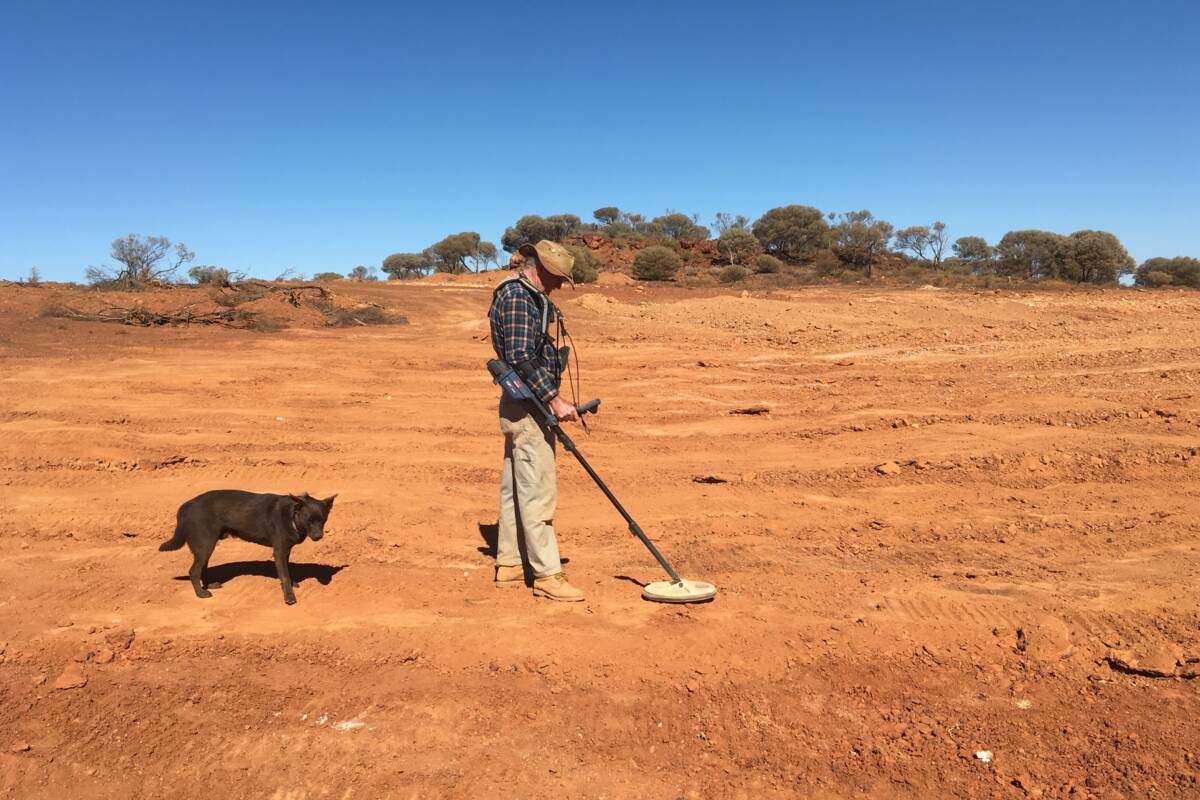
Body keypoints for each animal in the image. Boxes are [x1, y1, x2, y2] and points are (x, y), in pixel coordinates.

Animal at [159, 489, 336, 606]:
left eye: (323, 520)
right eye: (308, 520)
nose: (318, 537)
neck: (291, 515)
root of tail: (185, 506)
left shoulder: (286, 551)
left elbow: (288, 572)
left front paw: (293, 584)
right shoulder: (279, 552)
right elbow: (284, 576)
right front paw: (289, 597)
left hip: (206, 546)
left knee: (202, 567)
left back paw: (209, 585)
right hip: (205, 545)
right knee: (193, 571)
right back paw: (201, 594)